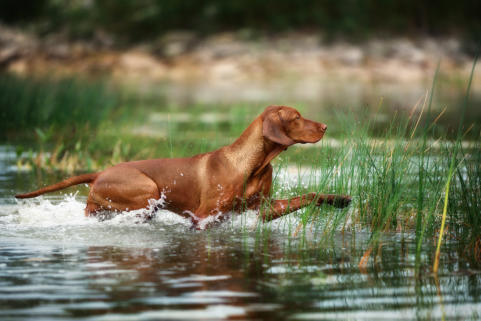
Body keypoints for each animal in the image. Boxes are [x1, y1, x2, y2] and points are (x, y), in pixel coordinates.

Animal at [15, 105, 350, 228]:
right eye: (296, 117)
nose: (325, 126)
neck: (254, 164)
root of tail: (100, 171)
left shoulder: (262, 208)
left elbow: (309, 195)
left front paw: (339, 200)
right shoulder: (203, 216)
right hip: (147, 191)